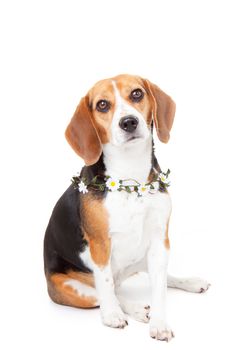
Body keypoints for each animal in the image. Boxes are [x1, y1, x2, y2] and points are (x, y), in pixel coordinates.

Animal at [43, 74, 209, 342]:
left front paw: (159, 323)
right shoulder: (100, 243)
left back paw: (189, 282)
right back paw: (133, 309)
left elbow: (159, 290)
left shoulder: (160, 240)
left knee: (158, 280)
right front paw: (113, 315)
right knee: (108, 293)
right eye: (102, 105)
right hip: (74, 289)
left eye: (137, 94)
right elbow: (106, 284)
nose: (128, 122)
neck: (131, 179)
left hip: (147, 256)